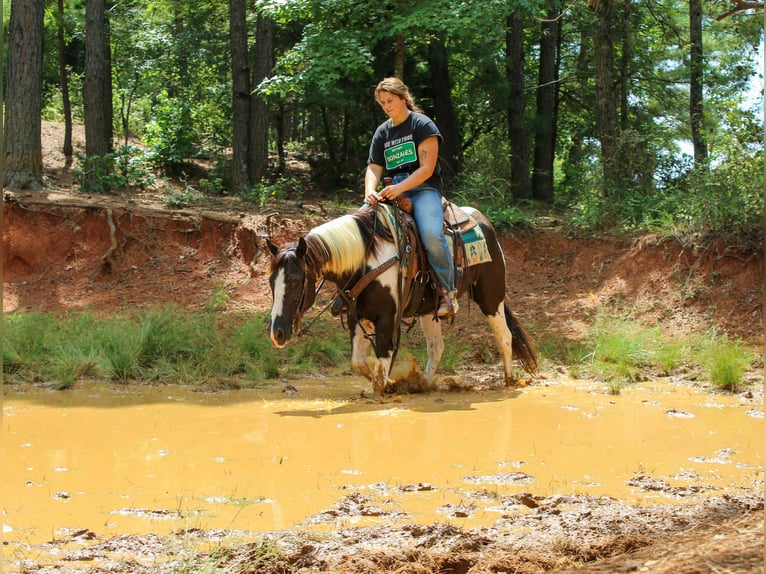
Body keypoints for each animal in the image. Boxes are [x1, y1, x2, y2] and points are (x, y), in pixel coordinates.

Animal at [266, 203, 538, 397]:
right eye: (271, 282)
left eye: (295, 281)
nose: (276, 333)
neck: (366, 260)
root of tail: (483, 222)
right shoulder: (356, 316)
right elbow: (359, 362)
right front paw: (393, 383)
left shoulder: (387, 318)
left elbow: (381, 365)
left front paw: (387, 385)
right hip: (430, 311)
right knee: (436, 347)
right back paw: (422, 384)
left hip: (491, 298)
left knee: (504, 337)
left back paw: (508, 380)